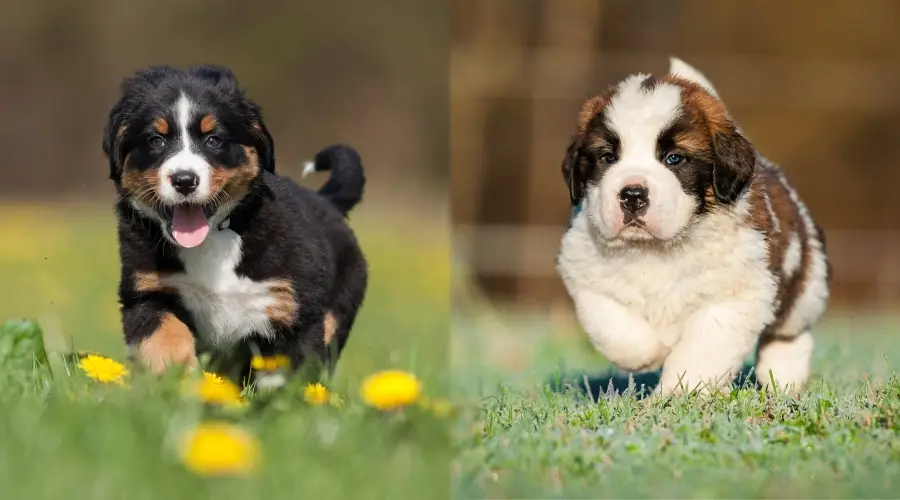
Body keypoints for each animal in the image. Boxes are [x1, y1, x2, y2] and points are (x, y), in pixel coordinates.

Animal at [99, 65, 366, 386]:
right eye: (155, 140)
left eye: (213, 140)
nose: (184, 180)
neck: (212, 239)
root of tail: (327, 201)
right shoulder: (146, 293)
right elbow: (163, 338)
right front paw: (179, 380)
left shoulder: (293, 310)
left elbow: (286, 374)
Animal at [560, 57, 832, 394]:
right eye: (608, 158)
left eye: (674, 159)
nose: (633, 194)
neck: (656, 250)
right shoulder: (586, 275)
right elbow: (617, 327)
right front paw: (650, 354)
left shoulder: (733, 296)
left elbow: (701, 352)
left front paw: (679, 392)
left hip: (805, 281)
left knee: (790, 331)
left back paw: (783, 377)